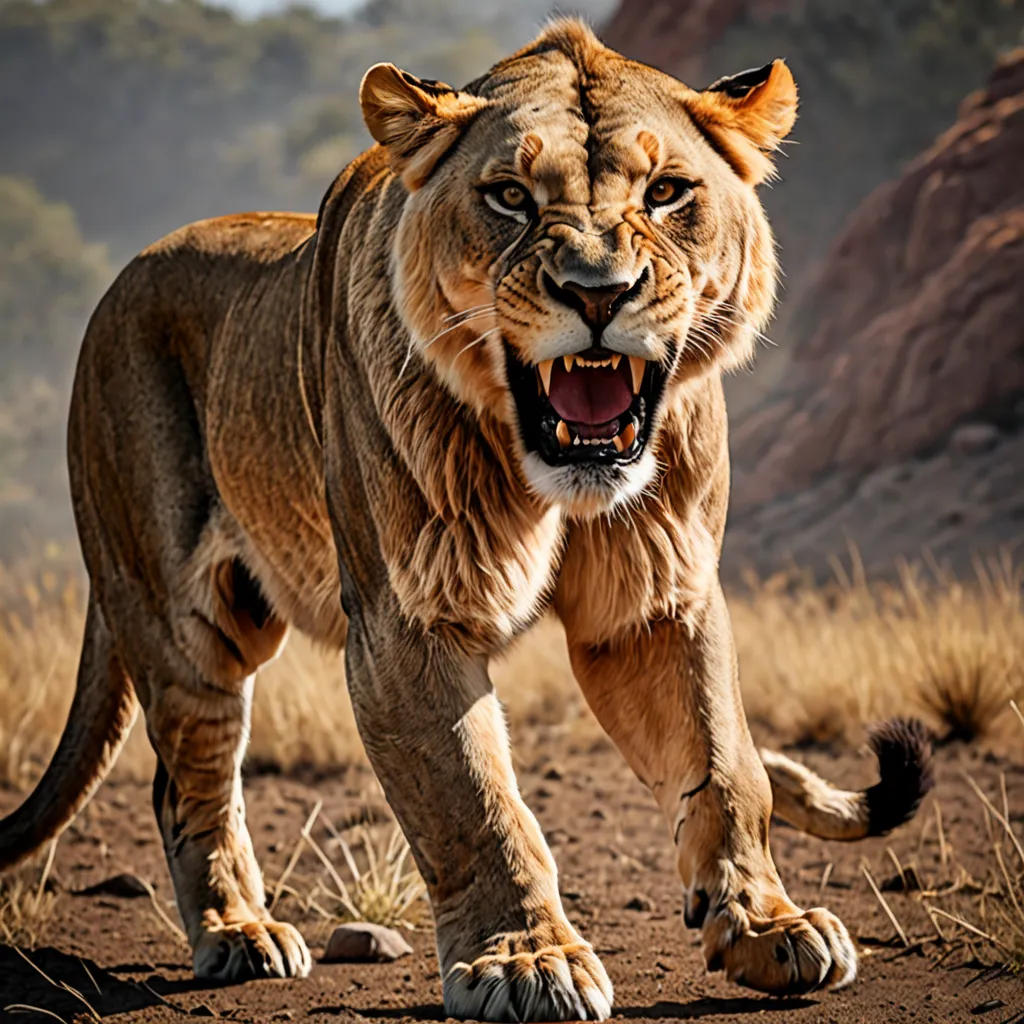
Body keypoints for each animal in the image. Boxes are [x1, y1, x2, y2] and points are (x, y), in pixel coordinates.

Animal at [0, 19, 932, 1021]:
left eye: (667, 192)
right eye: (511, 197)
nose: (598, 292)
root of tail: (121, 280)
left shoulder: (656, 603)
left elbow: (728, 769)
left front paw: (767, 926)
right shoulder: (408, 619)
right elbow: (475, 803)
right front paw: (526, 960)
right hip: (185, 623)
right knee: (189, 783)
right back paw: (238, 933)